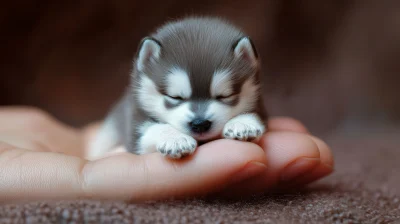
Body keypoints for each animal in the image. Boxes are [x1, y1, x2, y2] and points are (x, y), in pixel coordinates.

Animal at [89, 16, 268, 159]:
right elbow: (151, 129)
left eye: (225, 95)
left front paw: (243, 123)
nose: (200, 123)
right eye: (175, 97)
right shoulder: (134, 126)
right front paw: (175, 139)